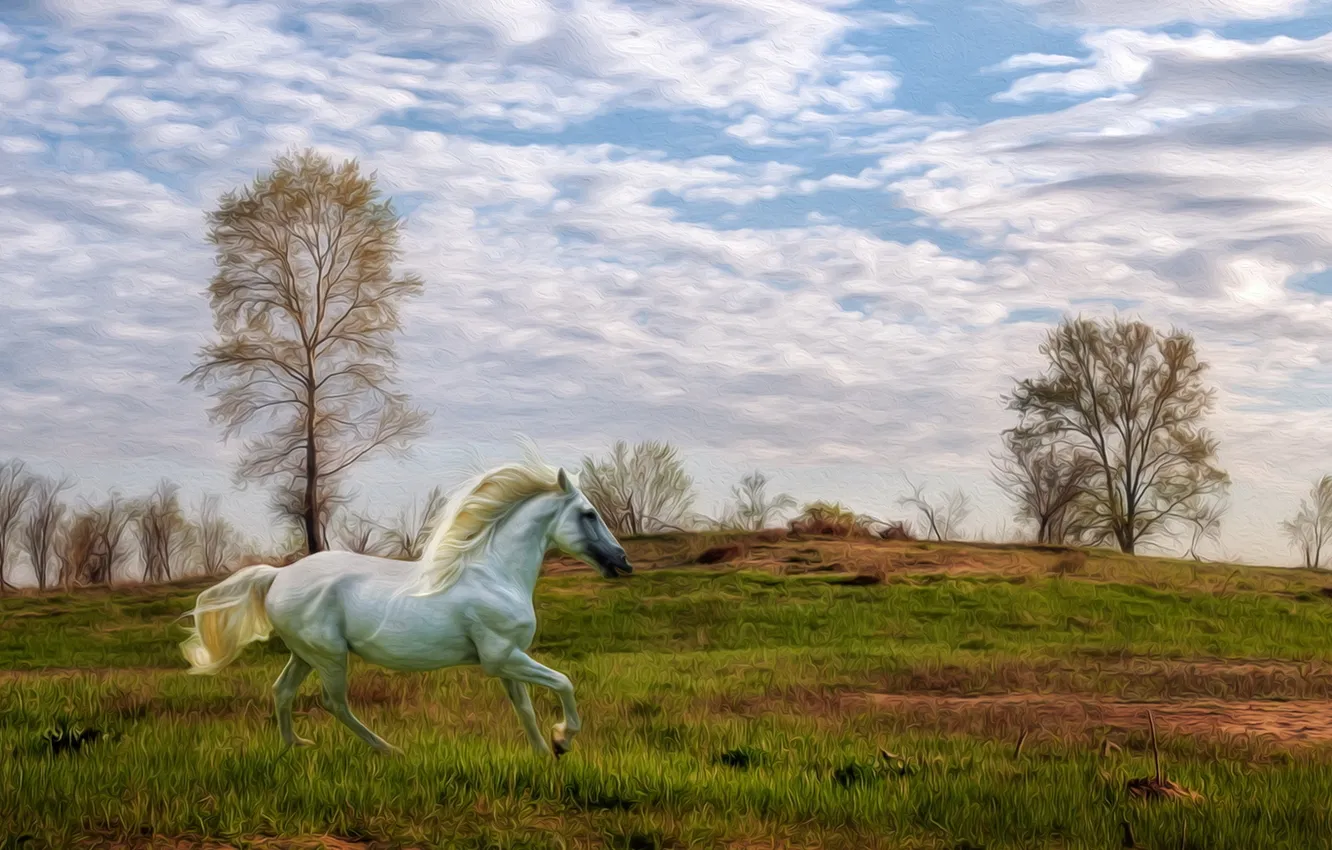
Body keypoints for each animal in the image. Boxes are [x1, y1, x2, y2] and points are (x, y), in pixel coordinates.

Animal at [178, 458, 634, 756]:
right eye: (589, 513)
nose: (623, 561)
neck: (494, 573)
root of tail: (278, 576)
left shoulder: (507, 660)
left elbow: (524, 708)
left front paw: (545, 754)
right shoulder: (502, 656)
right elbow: (563, 683)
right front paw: (562, 738)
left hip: (304, 654)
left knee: (282, 690)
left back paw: (297, 746)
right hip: (329, 656)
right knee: (333, 702)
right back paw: (389, 750)